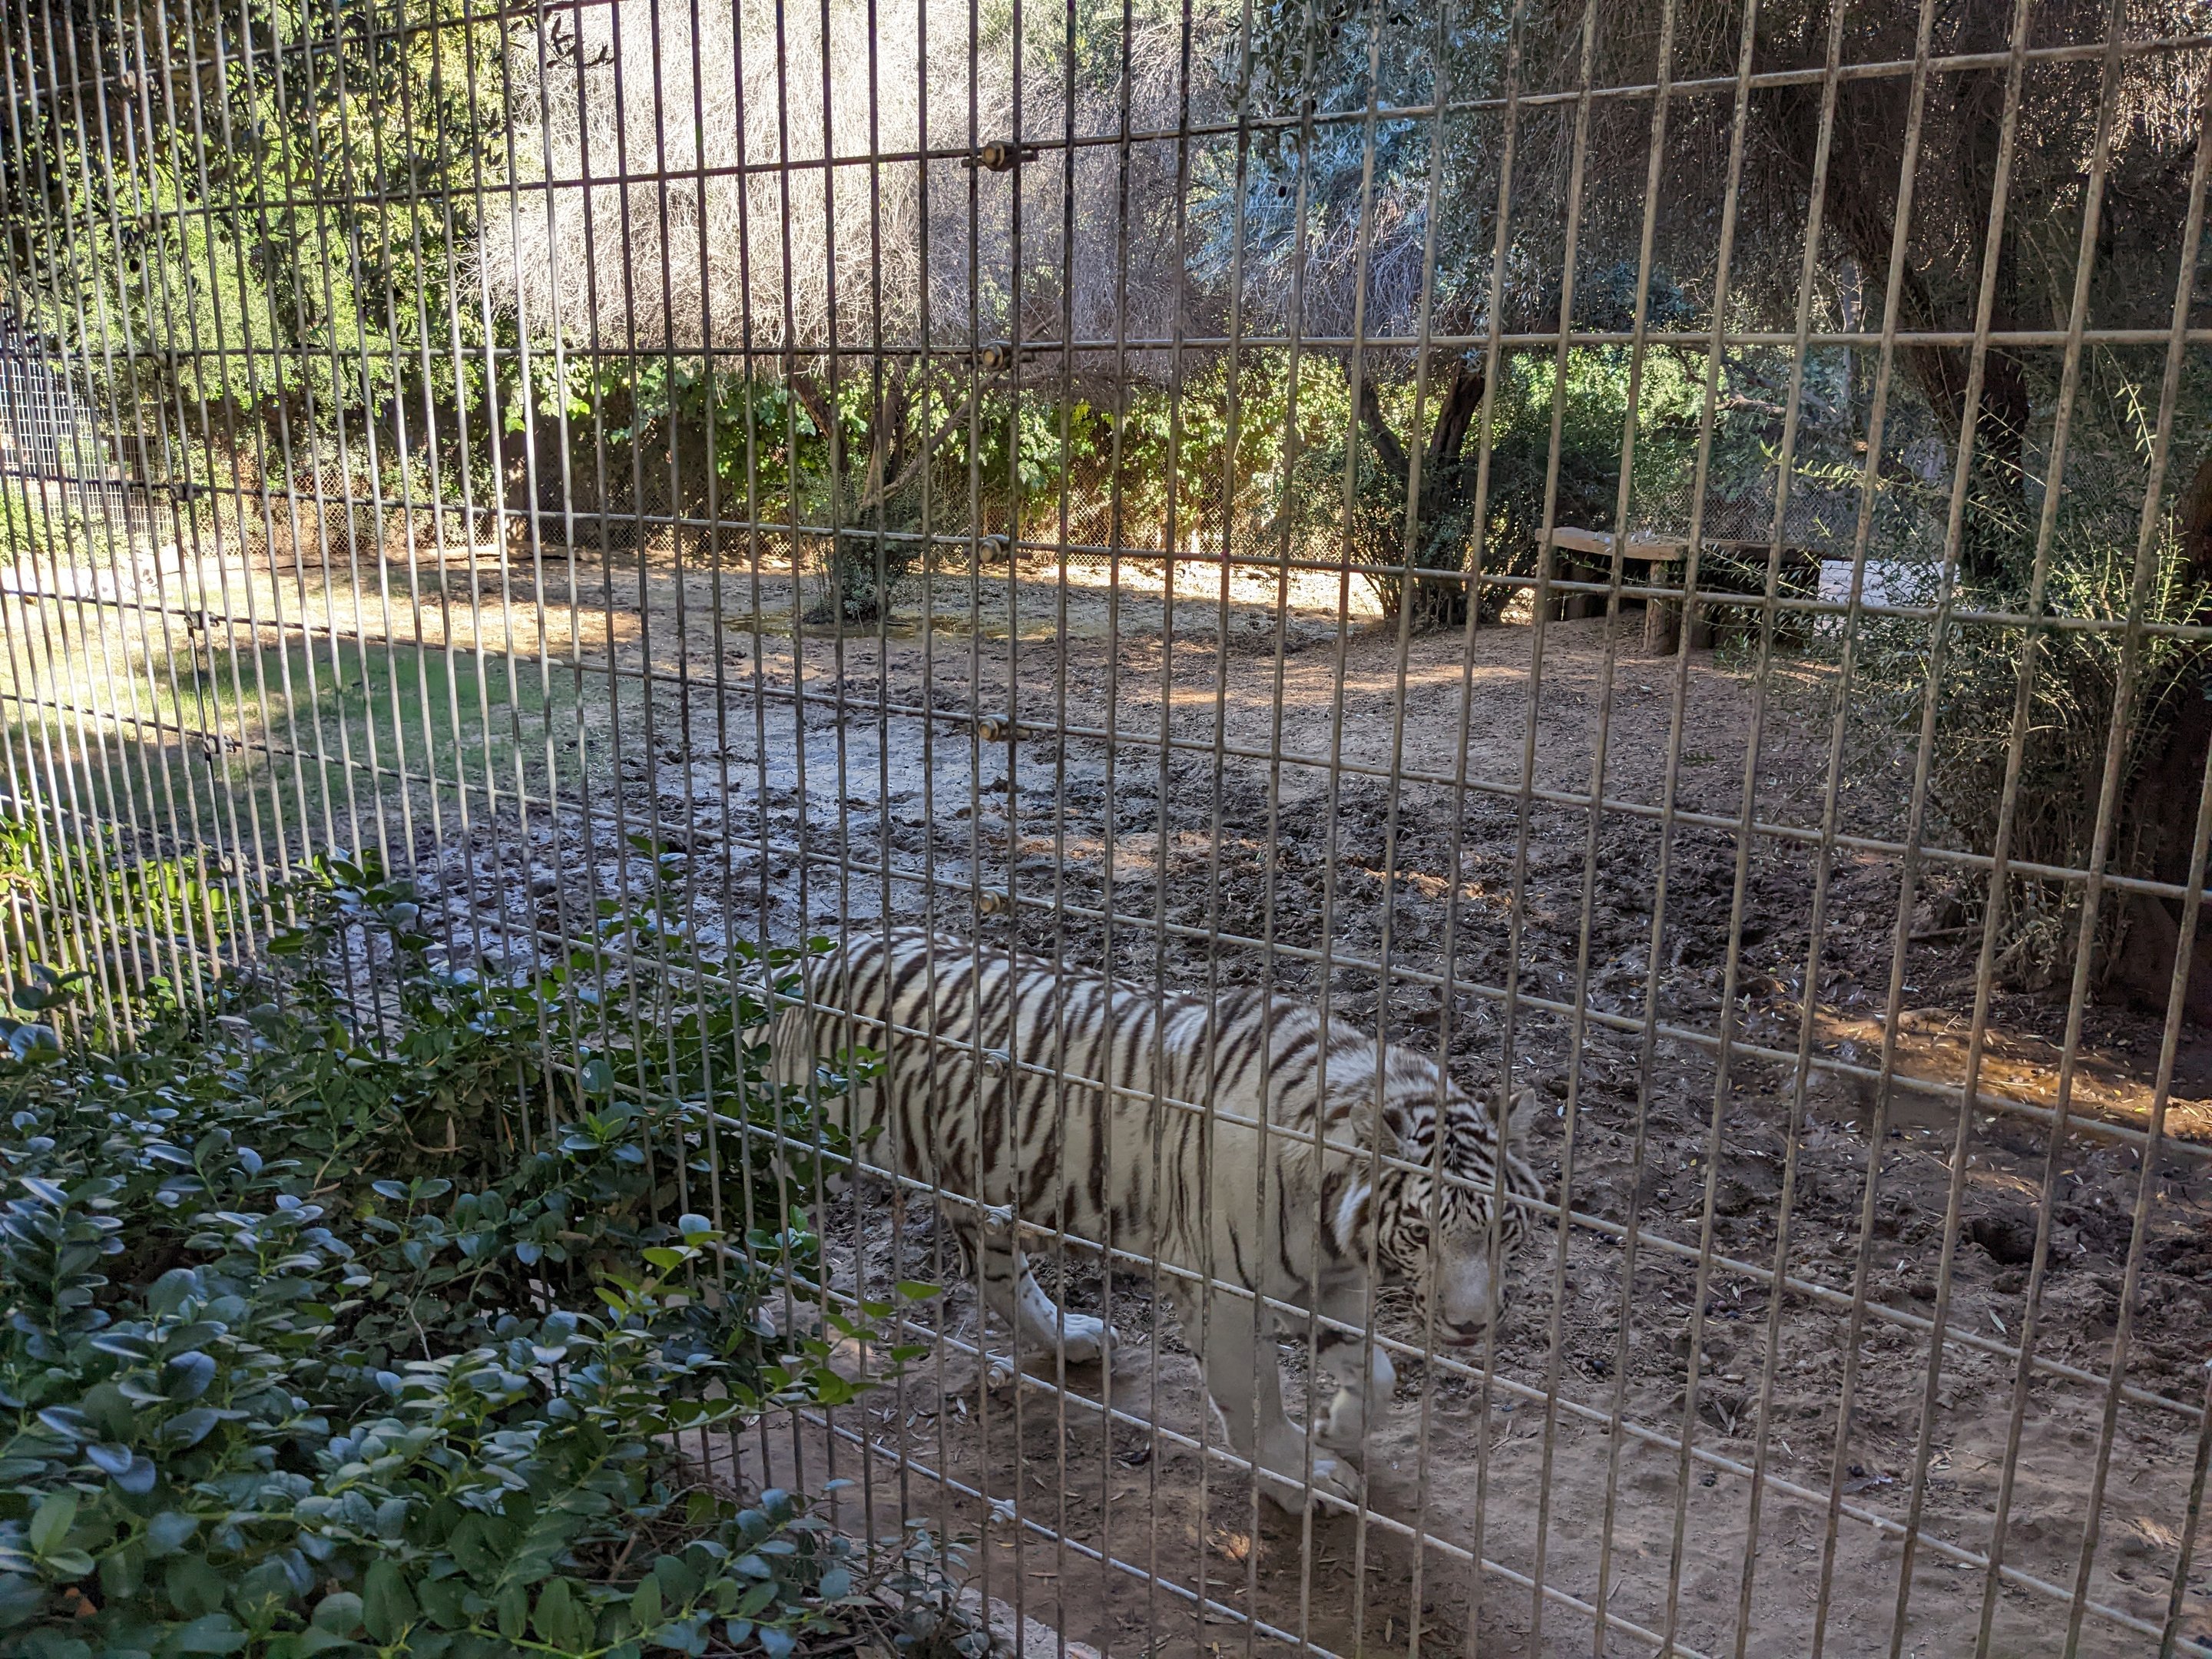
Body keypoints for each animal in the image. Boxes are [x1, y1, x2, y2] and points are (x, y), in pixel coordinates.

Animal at [767, 926, 1545, 1510]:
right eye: (1422, 1233)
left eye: (1503, 1231)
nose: (1473, 1326)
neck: (1333, 1220)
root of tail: (814, 959)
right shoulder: (1225, 1293)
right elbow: (1254, 1397)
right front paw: (1303, 1477)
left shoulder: (1327, 1281)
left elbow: (1375, 1368)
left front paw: (1337, 1424)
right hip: (803, 1151)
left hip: (982, 1180)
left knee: (994, 1275)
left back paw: (1071, 1336)